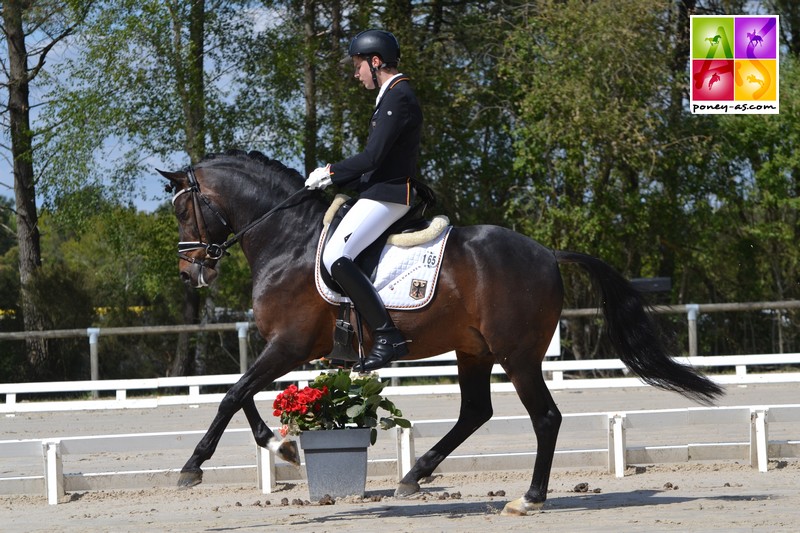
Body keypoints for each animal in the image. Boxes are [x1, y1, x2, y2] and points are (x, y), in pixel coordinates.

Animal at [159, 151, 720, 516]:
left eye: (182, 209)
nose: (190, 273)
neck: (288, 240)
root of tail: (546, 253)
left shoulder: (289, 345)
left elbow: (232, 394)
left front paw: (195, 466)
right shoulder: (282, 347)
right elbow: (241, 395)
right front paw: (283, 448)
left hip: (517, 355)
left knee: (545, 417)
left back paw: (530, 498)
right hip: (473, 350)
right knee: (476, 412)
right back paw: (414, 476)